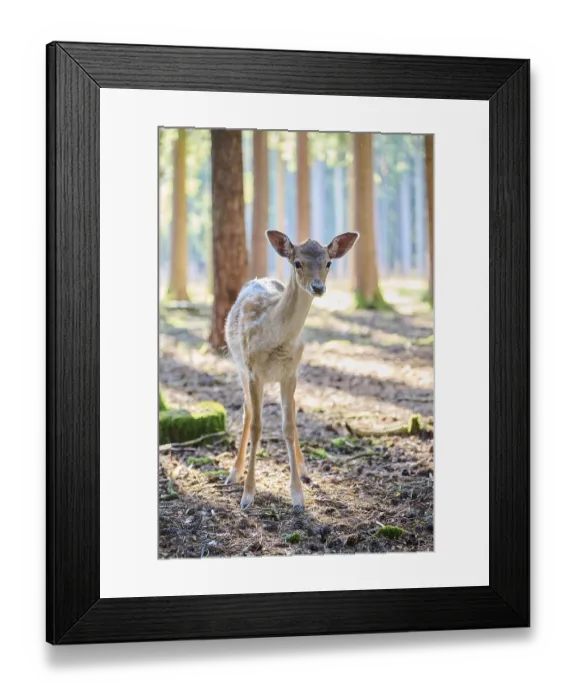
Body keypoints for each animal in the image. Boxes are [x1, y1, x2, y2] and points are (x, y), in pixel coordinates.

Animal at [224, 229, 359, 511]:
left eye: (328, 262)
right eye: (298, 262)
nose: (318, 287)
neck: (277, 339)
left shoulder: (289, 374)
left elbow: (288, 426)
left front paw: (297, 496)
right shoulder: (253, 372)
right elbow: (258, 426)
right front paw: (247, 495)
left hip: (292, 374)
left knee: (293, 415)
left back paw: (304, 468)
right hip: (240, 366)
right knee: (247, 412)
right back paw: (233, 473)